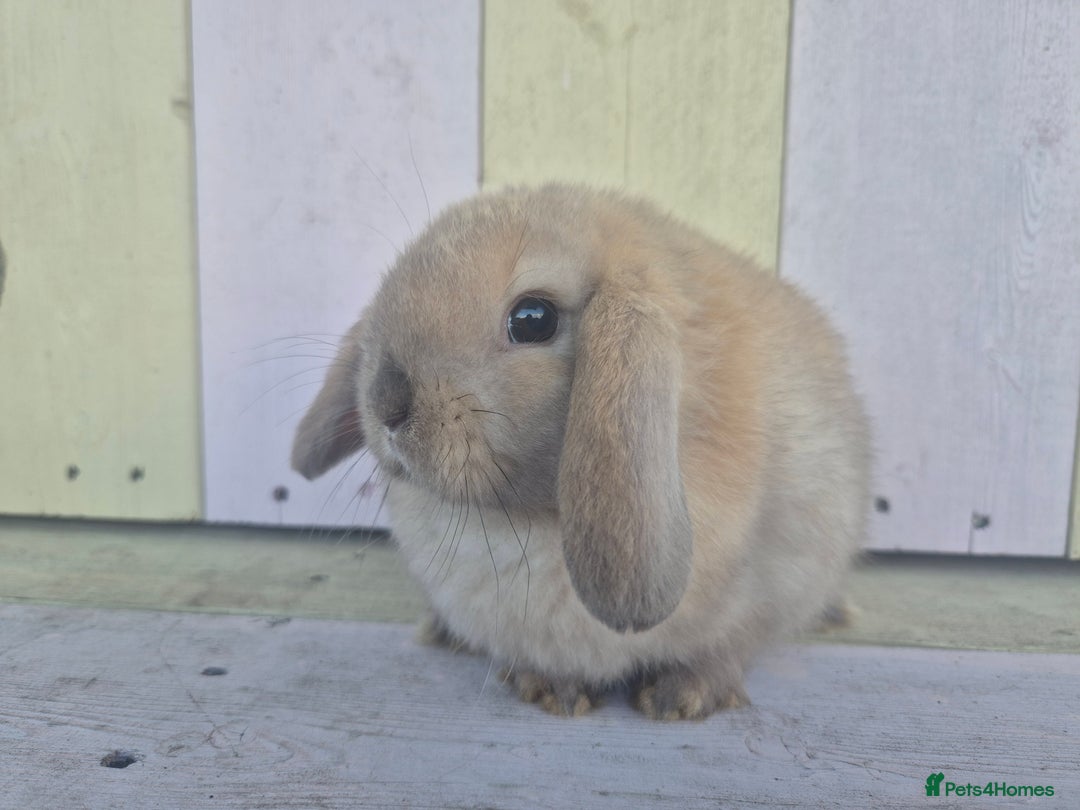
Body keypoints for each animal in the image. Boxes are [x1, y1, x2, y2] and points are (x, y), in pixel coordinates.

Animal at [292, 184, 871, 720]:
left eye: (533, 318)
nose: (385, 404)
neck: (527, 519)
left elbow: (731, 644)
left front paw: (682, 696)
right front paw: (553, 689)